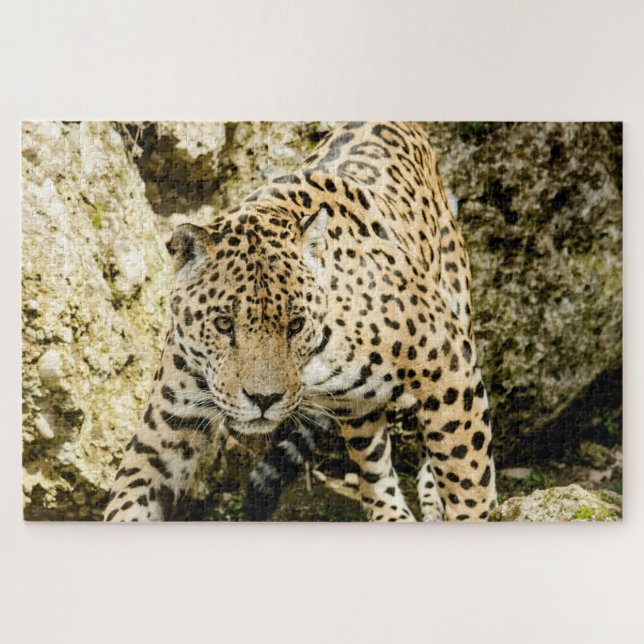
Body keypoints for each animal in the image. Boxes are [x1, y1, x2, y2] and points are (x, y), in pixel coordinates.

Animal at [104, 121, 497, 522]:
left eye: (294, 325)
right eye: (223, 325)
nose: (264, 399)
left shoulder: (449, 365)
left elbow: (466, 472)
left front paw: (472, 514)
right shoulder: (164, 431)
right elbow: (130, 494)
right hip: (355, 408)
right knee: (372, 459)